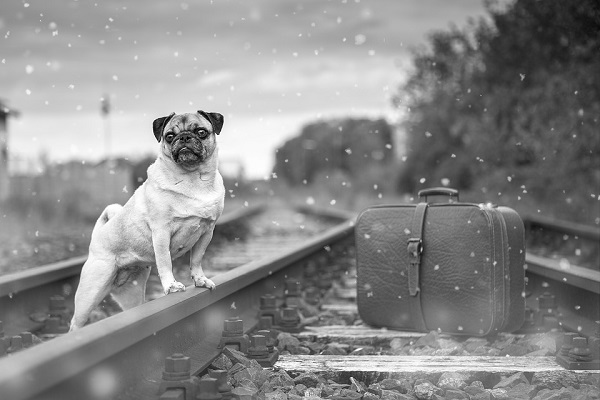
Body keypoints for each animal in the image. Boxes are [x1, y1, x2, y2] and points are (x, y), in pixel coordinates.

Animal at [69, 110, 225, 332]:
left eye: (201, 132)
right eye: (169, 136)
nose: (184, 137)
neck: (192, 178)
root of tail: (97, 235)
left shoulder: (207, 231)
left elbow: (196, 260)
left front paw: (200, 280)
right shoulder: (161, 231)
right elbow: (165, 262)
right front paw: (171, 286)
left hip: (131, 293)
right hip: (91, 290)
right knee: (76, 322)